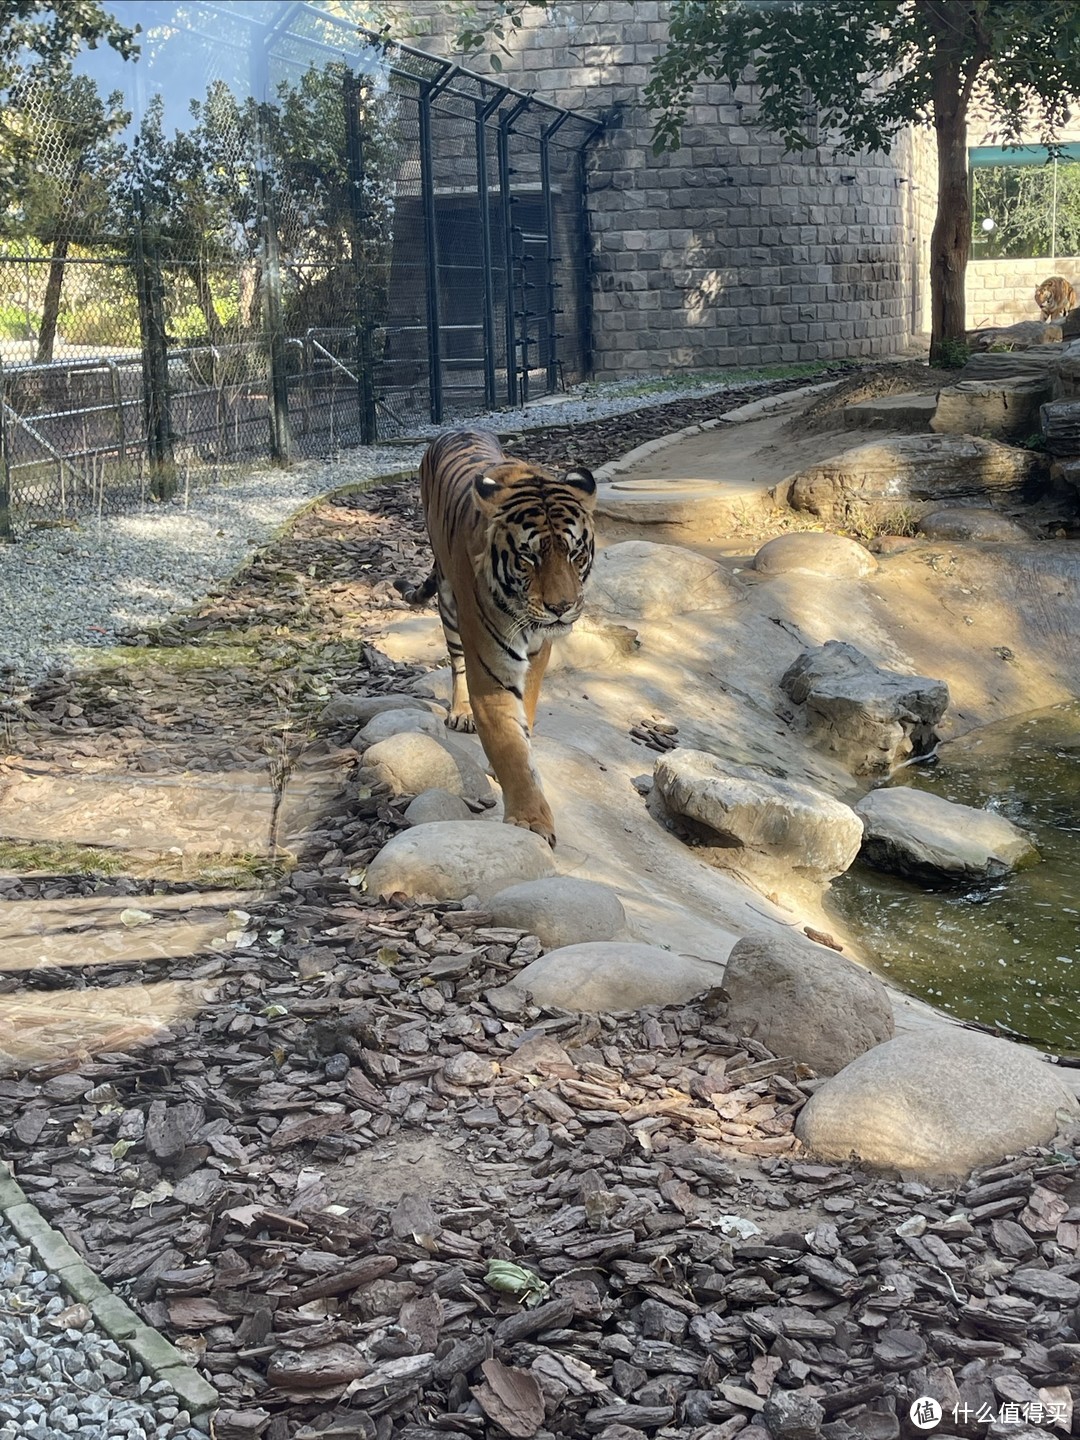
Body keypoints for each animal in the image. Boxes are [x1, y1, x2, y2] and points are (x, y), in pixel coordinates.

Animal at [397, 432, 601, 846]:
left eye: (575, 554)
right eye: (528, 558)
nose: (561, 607)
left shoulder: (538, 654)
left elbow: (527, 713)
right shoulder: (490, 669)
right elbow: (509, 746)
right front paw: (530, 821)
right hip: (449, 603)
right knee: (457, 661)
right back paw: (460, 712)